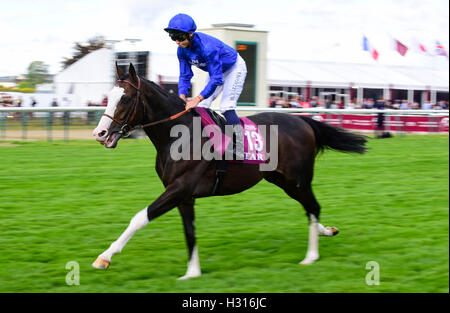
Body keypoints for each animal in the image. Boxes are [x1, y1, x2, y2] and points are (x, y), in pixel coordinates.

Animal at [91, 63, 366, 278]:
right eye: (108, 96)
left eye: (125, 99)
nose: (99, 133)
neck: (179, 135)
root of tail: (303, 120)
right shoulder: (184, 196)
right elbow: (189, 232)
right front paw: (192, 273)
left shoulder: (179, 187)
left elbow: (140, 217)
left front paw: (105, 256)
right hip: (282, 180)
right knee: (310, 209)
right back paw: (326, 231)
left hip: (298, 179)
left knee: (313, 207)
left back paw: (311, 256)